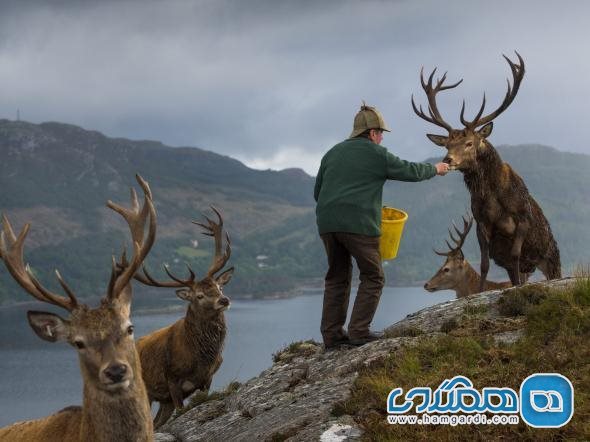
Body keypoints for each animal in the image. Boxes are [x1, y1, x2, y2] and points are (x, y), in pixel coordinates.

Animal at [124, 207, 234, 428]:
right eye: (199, 295)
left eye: (219, 287)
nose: (224, 300)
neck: (201, 359)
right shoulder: (172, 379)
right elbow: (181, 411)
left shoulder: (207, 380)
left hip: (163, 401)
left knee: (157, 423)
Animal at [414, 53, 560, 292]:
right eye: (447, 145)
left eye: (469, 143)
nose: (447, 160)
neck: (493, 199)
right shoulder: (481, 223)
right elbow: (484, 264)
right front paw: (481, 291)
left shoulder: (522, 219)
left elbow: (516, 255)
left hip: (552, 257)